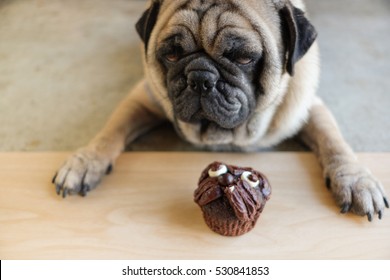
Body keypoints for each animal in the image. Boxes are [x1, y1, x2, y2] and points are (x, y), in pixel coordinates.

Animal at [52, 1, 386, 222]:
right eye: (171, 54)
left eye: (243, 58)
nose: (201, 77)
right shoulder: (143, 98)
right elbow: (111, 131)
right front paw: (85, 162)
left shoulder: (307, 106)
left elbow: (334, 143)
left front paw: (356, 181)